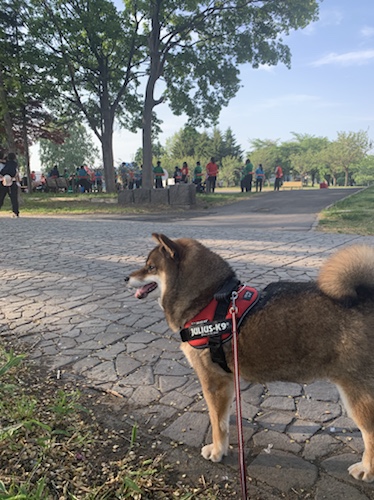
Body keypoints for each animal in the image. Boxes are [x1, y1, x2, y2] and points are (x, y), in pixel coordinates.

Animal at [127, 236, 374, 482]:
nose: (126, 277)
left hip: (357, 395)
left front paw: (218, 450)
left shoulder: (213, 382)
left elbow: (217, 424)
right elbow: (222, 418)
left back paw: (367, 469)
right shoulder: (227, 380)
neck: (207, 301)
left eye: (150, 267)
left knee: (370, 433)